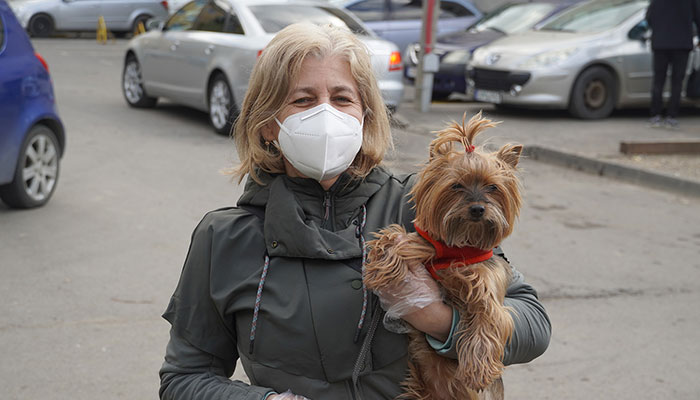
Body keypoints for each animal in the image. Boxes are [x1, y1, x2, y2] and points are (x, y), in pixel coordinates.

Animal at [364, 111, 524, 398]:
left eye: (493, 187)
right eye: (456, 186)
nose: (477, 209)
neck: (460, 245)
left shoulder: (488, 285)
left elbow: (487, 320)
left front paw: (478, 370)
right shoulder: (432, 244)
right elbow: (399, 238)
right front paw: (382, 266)